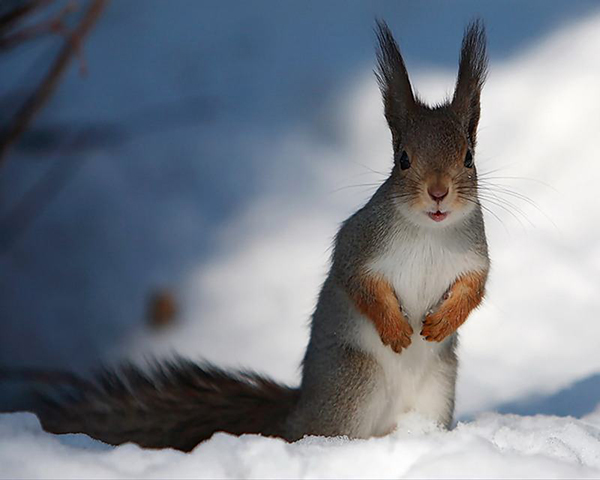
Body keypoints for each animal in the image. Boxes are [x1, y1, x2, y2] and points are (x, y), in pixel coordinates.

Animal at [4, 19, 490, 454]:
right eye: (403, 159)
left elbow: (475, 289)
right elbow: (358, 281)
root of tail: (296, 415)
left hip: (436, 391)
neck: (429, 232)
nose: (438, 193)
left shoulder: (474, 256)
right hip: (354, 386)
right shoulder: (360, 242)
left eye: (468, 156)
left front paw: (443, 321)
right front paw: (396, 330)